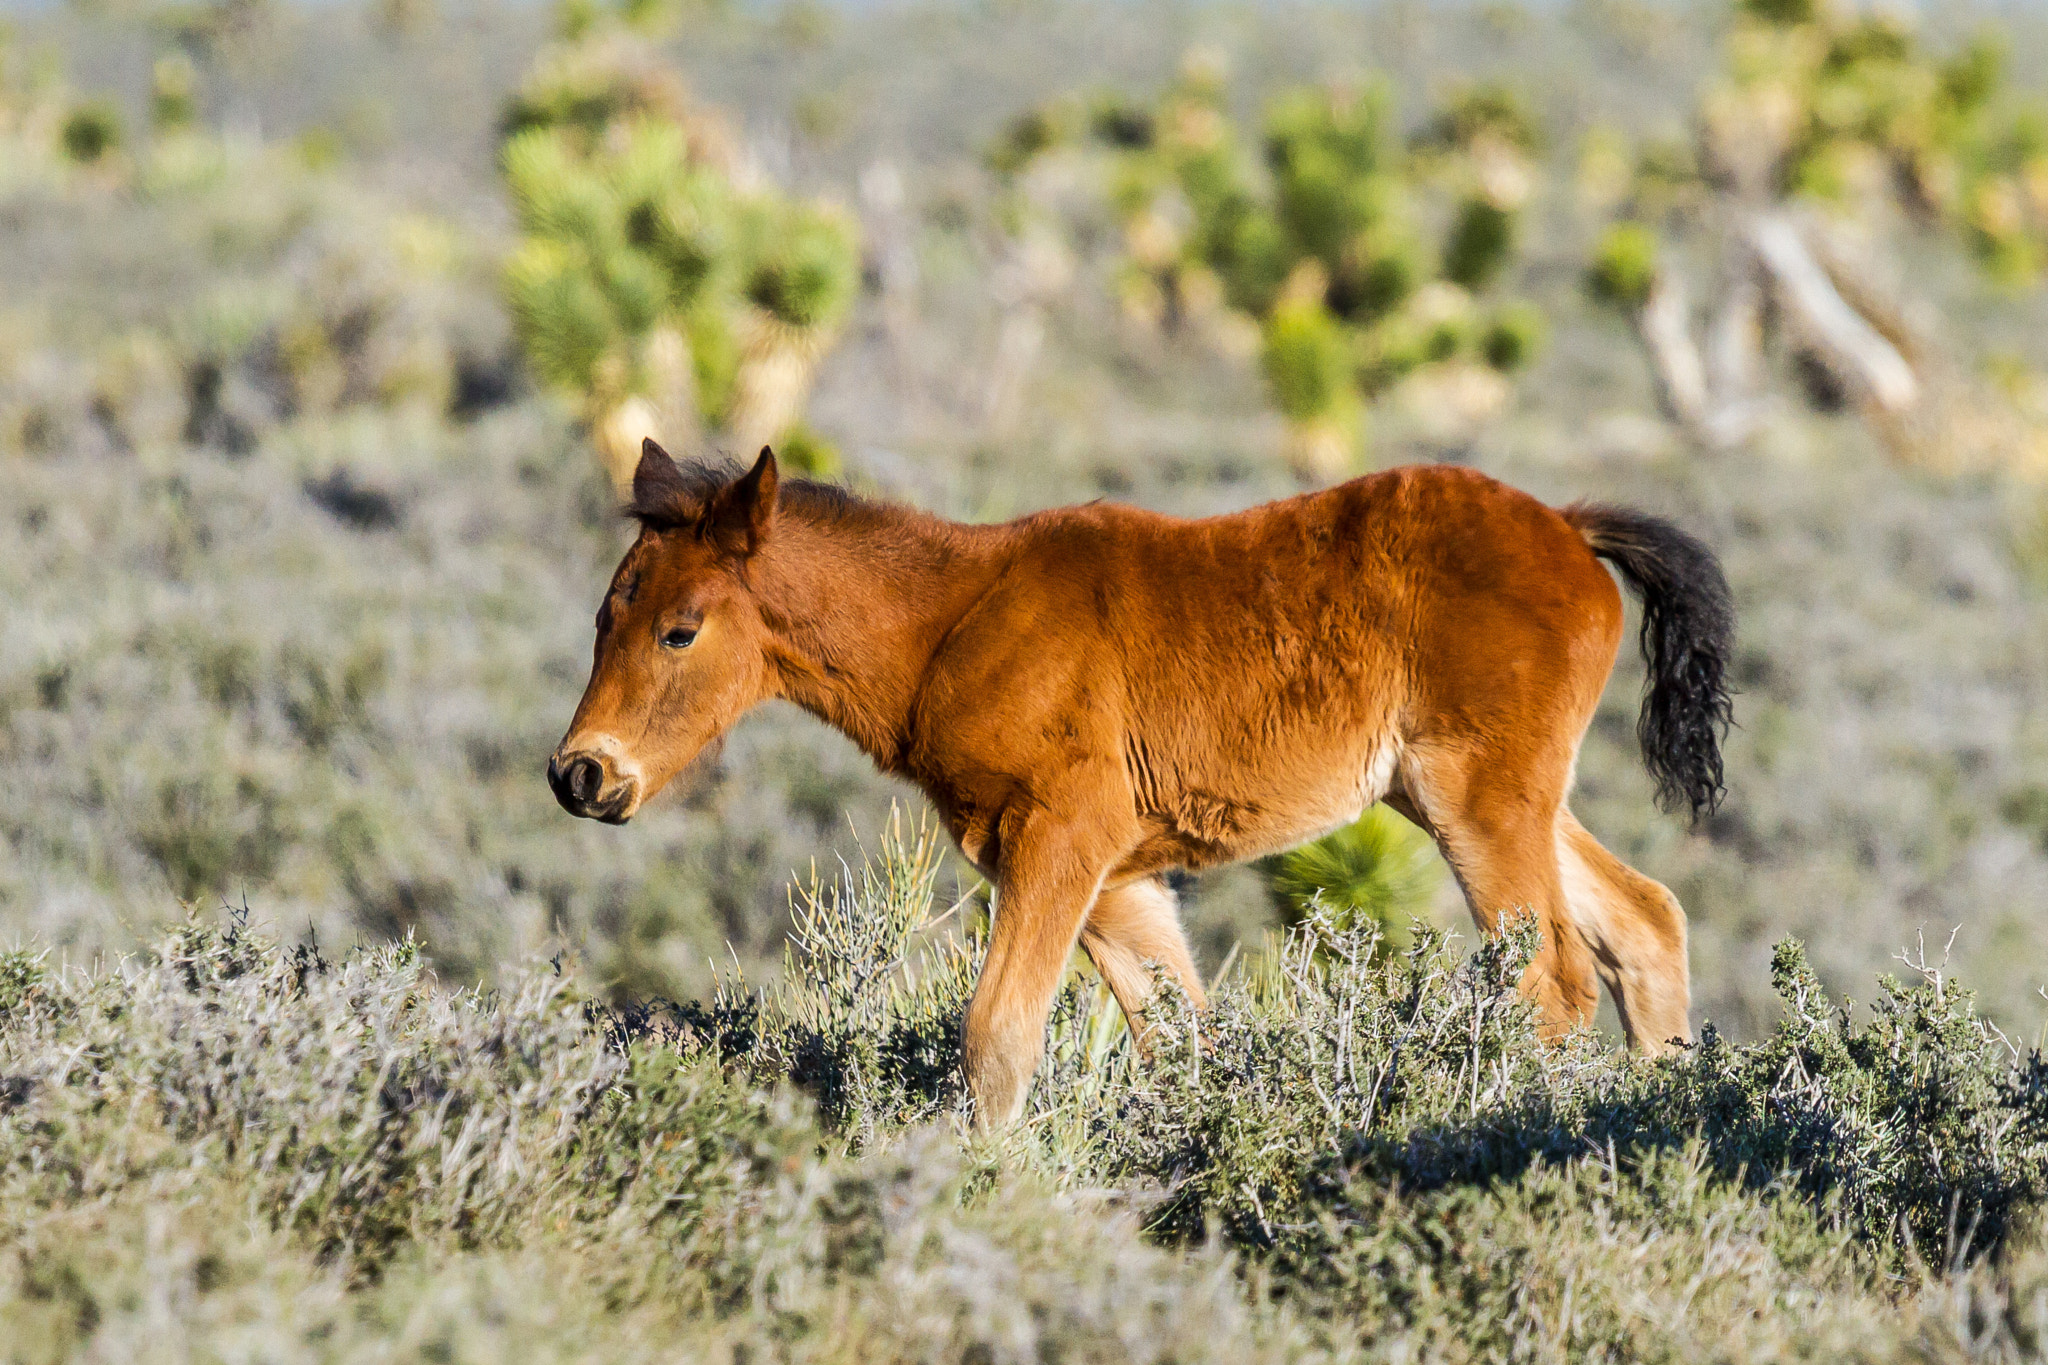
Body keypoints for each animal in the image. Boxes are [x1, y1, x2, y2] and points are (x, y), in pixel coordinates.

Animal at [552, 444, 1736, 1129]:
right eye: (604, 615)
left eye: (680, 629)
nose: (581, 774)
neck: (954, 623)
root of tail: (1569, 529)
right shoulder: (1114, 879)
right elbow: (1183, 1041)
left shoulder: (1061, 840)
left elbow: (997, 1037)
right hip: (1474, 793)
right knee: (1644, 921)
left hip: (1474, 795)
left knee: (1550, 980)